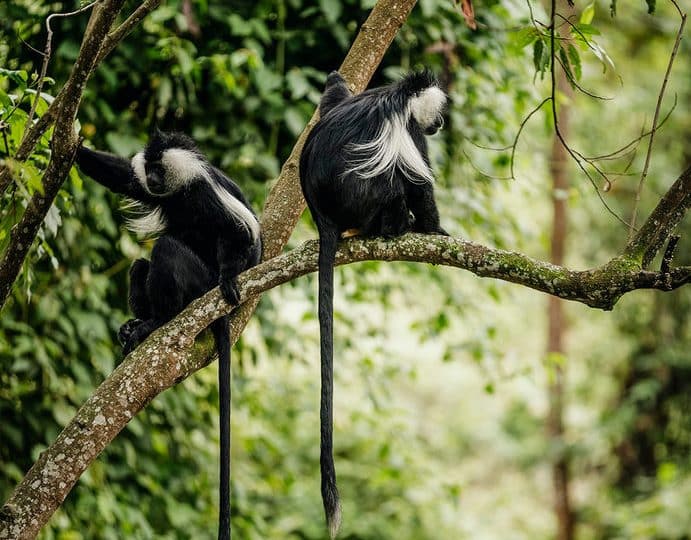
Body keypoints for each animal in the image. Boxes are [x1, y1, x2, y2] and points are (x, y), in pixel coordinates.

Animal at [75, 130, 261, 540]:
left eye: (159, 169)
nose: (153, 179)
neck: (179, 189)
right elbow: (123, 179)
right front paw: (68, 143)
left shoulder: (205, 193)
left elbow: (234, 234)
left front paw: (230, 279)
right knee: (139, 265)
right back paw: (139, 325)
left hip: (198, 284)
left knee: (168, 250)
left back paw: (161, 320)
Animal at [299, 70, 448, 538]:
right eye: (439, 112)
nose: (441, 124)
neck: (397, 94)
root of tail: (325, 220)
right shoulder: (407, 129)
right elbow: (419, 183)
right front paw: (436, 230)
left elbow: (333, 90)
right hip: (362, 202)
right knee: (391, 184)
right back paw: (395, 227)